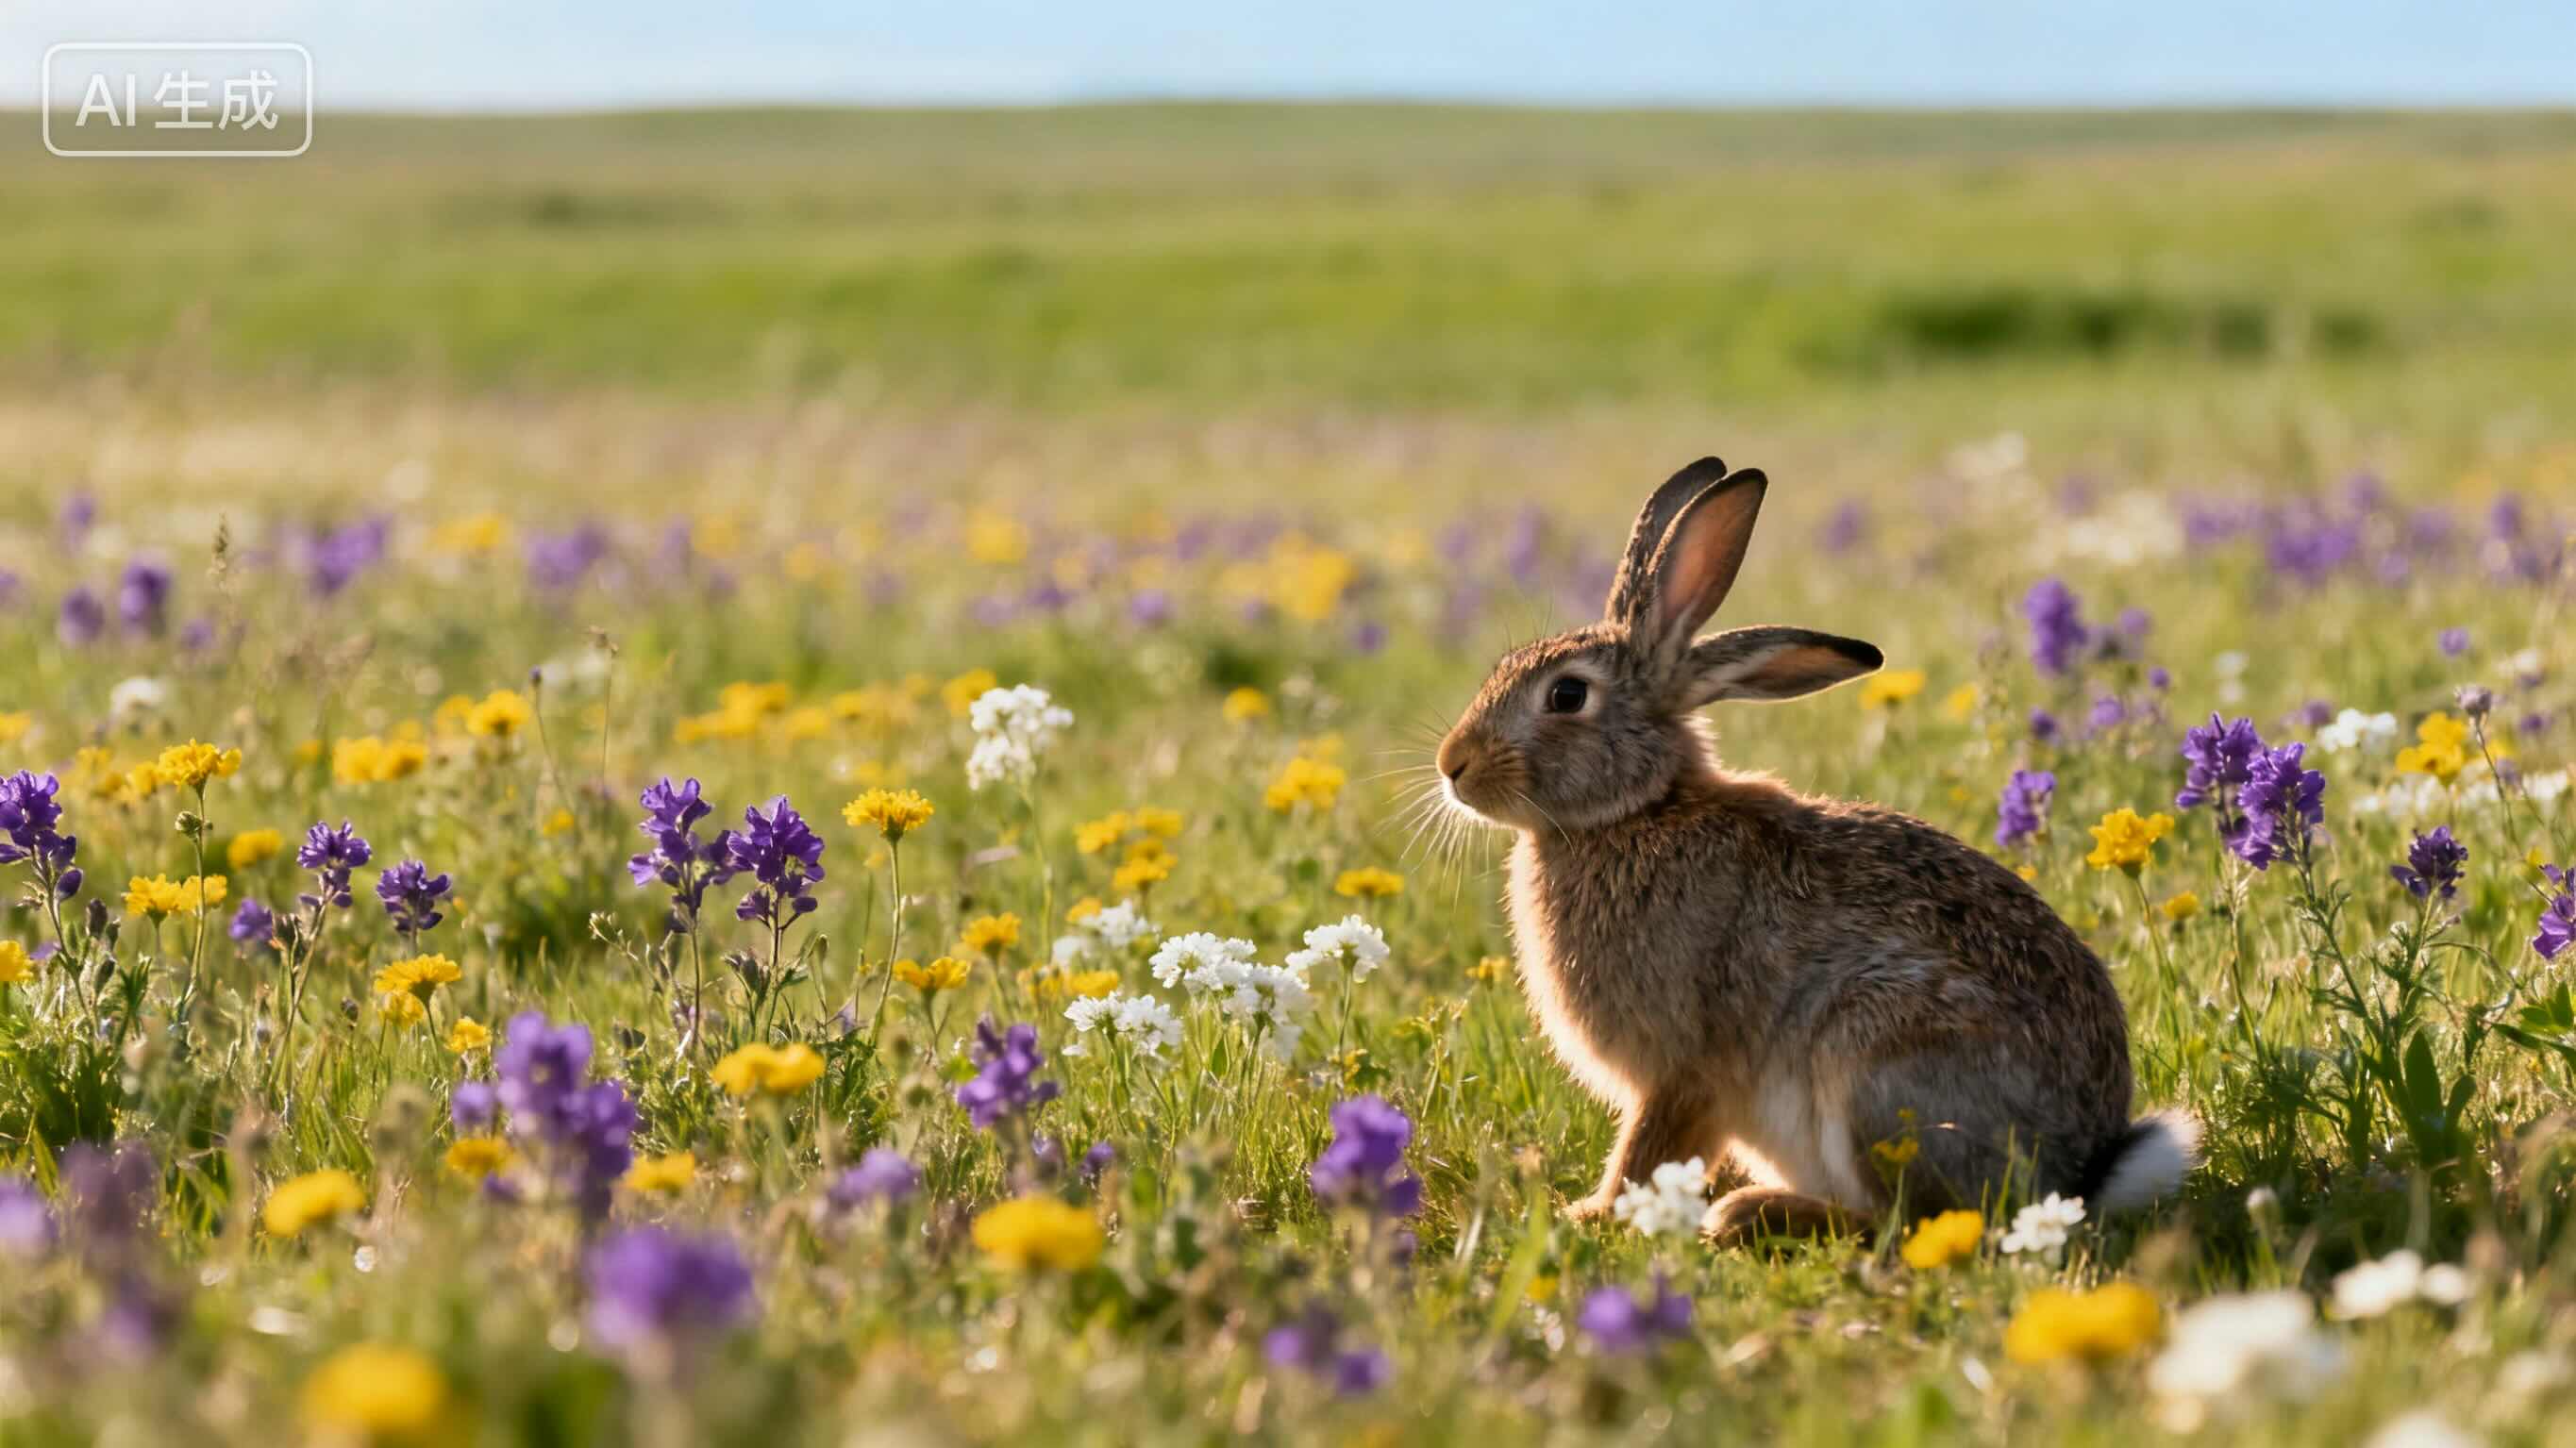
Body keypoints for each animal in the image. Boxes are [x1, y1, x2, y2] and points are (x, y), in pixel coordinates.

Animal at [1434, 456, 2197, 1242]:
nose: (1451, 763)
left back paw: (1749, 1212)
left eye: (1567, 695)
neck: (1641, 811)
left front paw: (1589, 1213)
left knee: (1908, 1219)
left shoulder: (1682, 1069)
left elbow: (1648, 1150)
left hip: (1871, 1057)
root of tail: (2075, 1174)